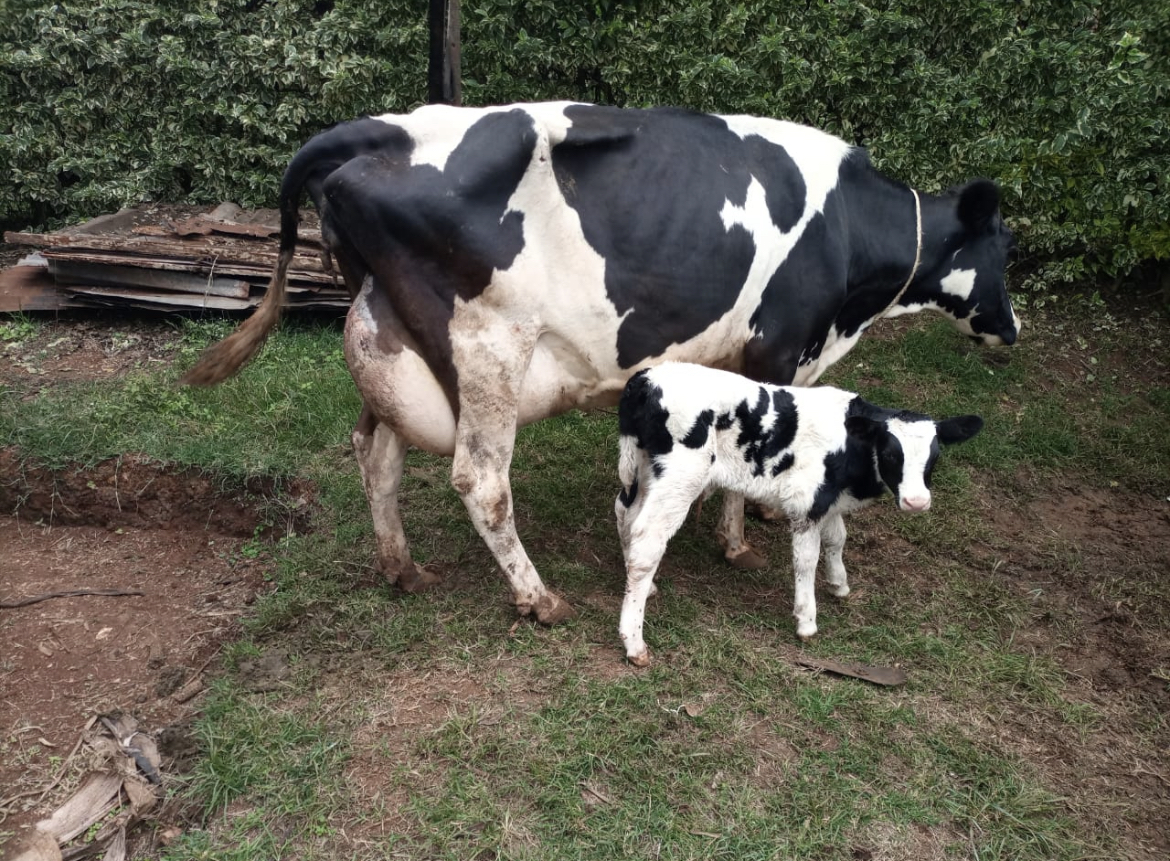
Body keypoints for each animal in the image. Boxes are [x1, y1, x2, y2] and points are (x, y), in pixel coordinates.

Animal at [180, 101, 1019, 625]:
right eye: (1005, 249)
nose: (1012, 329)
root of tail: (377, 132)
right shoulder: (782, 346)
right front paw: (739, 539)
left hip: (392, 341)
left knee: (374, 452)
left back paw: (402, 567)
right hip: (488, 344)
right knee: (480, 480)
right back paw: (538, 598)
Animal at [614, 362, 984, 665]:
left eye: (935, 457)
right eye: (892, 454)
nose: (917, 502)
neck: (850, 446)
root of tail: (646, 380)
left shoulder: (828, 498)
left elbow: (837, 538)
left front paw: (839, 583)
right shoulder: (807, 504)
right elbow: (807, 559)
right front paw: (807, 620)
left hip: (644, 468)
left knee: (626, 514)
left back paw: (642, 586)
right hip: (680, 477)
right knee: (648, 538)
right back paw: (634, 642)